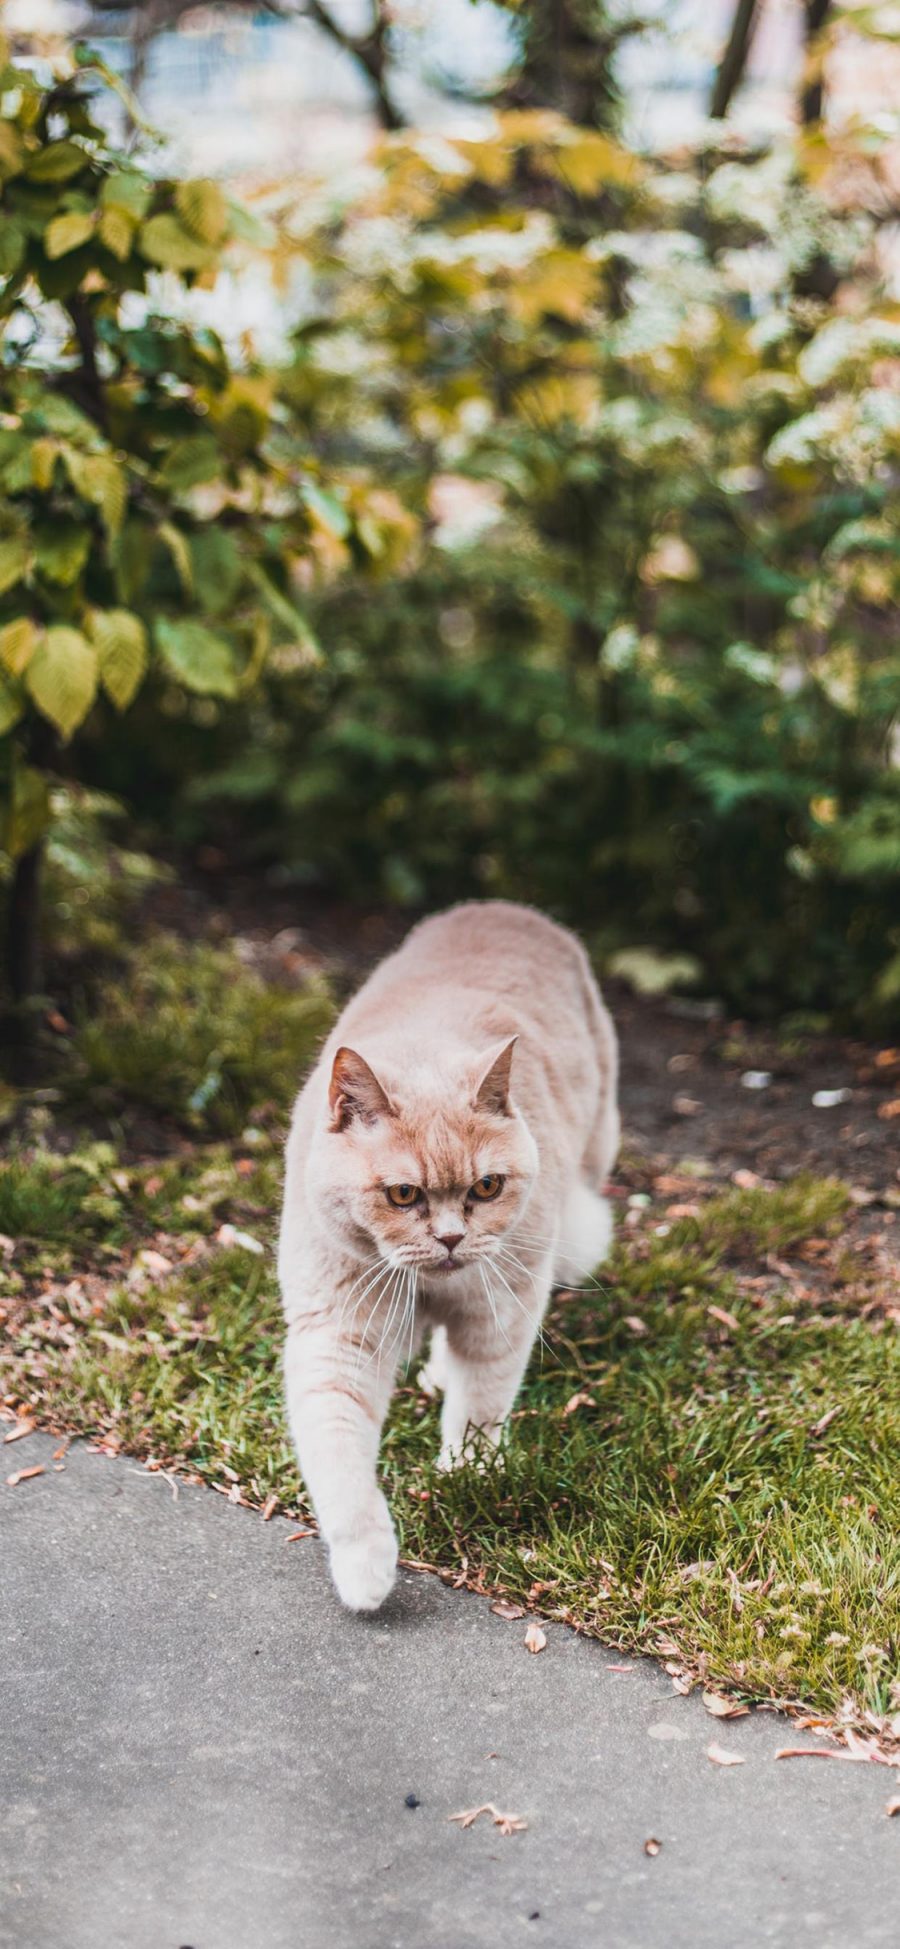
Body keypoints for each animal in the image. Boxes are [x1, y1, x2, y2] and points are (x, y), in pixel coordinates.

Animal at [280, 896, 619, 1613]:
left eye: (486, 1187)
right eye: (403, 1193)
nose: (451, 1238)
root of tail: (506, 908)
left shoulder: (501, 1314)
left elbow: (480, 1406)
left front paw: (467, 1474)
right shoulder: (336, 1338)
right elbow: (340, 1458)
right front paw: (366, 1566)